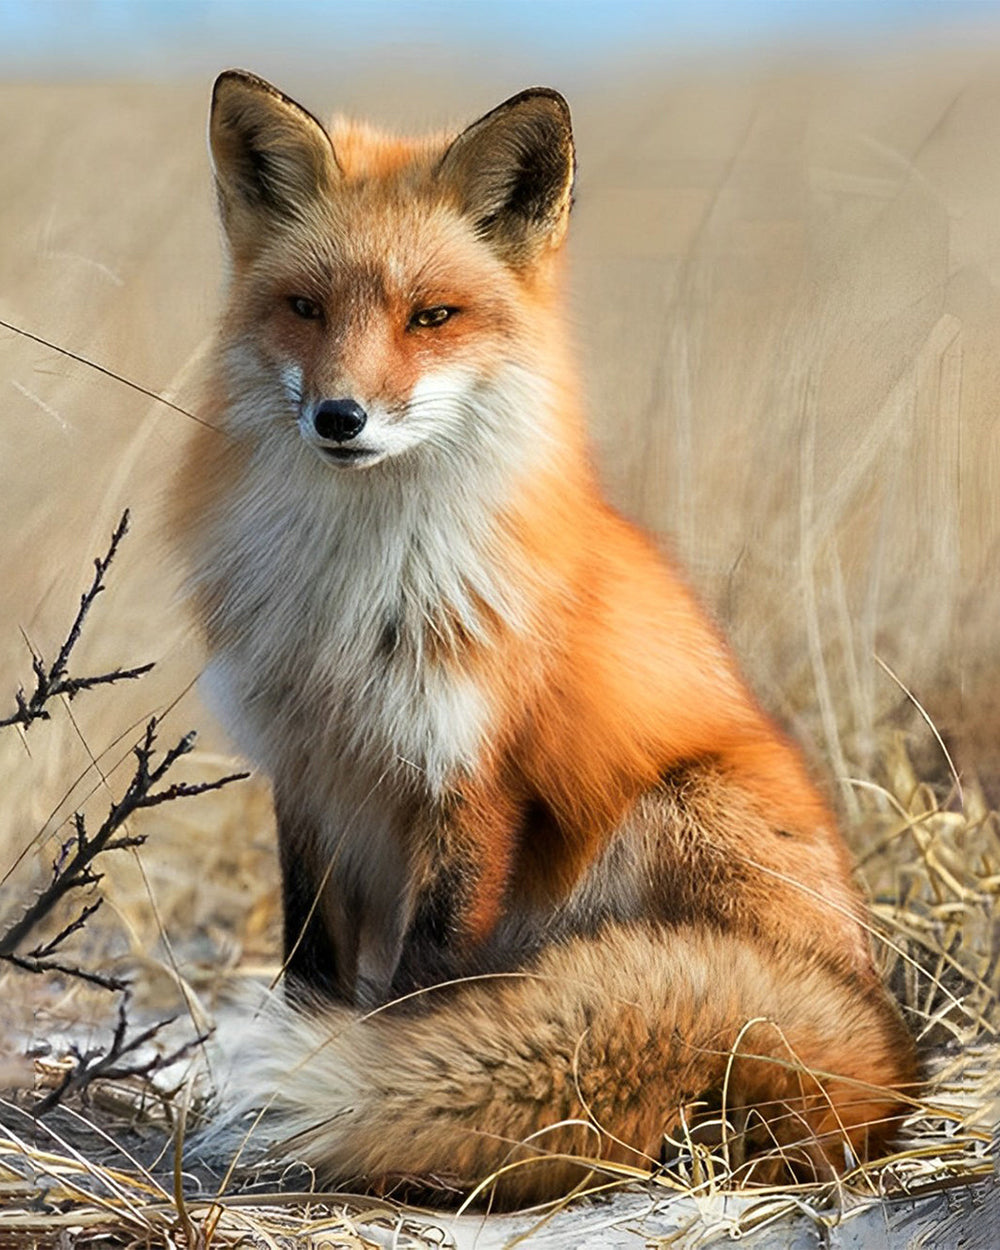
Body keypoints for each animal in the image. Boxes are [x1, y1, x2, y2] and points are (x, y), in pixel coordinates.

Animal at [174, 69, 917, 1207]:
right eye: (305, 308)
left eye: (432, 316)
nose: (340, 417)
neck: (358, 595)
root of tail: (885, 1060)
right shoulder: (307, 768)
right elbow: (307, 961)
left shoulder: (472, 773)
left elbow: (422, 987)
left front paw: (382, 1103)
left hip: (673, 807)